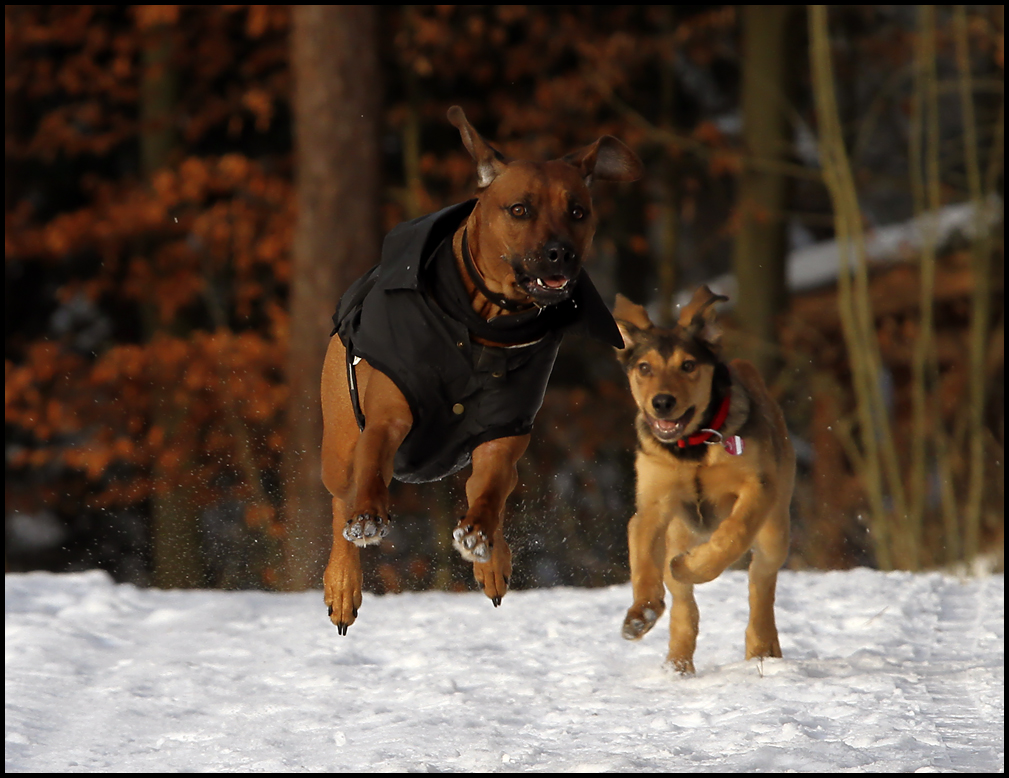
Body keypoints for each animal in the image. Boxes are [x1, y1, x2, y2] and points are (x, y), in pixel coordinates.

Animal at [318, 106, 641, 637]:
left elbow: (490, 490)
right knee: (340, 496)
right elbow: (367, 476)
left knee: (486, 490)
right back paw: (343, 581)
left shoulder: (504, 429)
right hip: (339, 438)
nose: (561, 253)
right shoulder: (387, 414)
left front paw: (478, 538)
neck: (486, 321)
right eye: (519, 210)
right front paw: (367, 518)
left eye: (577, 211)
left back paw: (492, 557)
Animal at [609, 286, 791, 674]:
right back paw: (677, 662)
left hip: (775, 528)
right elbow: (643, 556)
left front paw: (692, 566)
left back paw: (762, 646)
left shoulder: (758, 487)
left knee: (761, 580)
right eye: (644, 368)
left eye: (688, 366)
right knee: (683, 603)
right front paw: (641, 614)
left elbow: (733, 534)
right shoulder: (653, 501)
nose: (662, 402)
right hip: (679, 530)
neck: (691, 449)